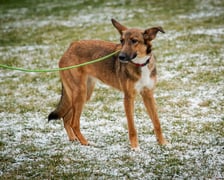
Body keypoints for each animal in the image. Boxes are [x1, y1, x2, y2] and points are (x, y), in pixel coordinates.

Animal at [48, 18, 168, 150]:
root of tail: (71, 46)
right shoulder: (128, 98)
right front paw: (135, 148)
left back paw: (73, 139)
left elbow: (157, 122)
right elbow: (132, 127)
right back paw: (85, 143)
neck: (140, 64)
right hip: (80, 93)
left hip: (84, 94)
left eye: (134, 41)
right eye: (121, 41)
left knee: (66, 119)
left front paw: (163, 143)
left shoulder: (148, 95)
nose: (120, 57)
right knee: (74, 123)